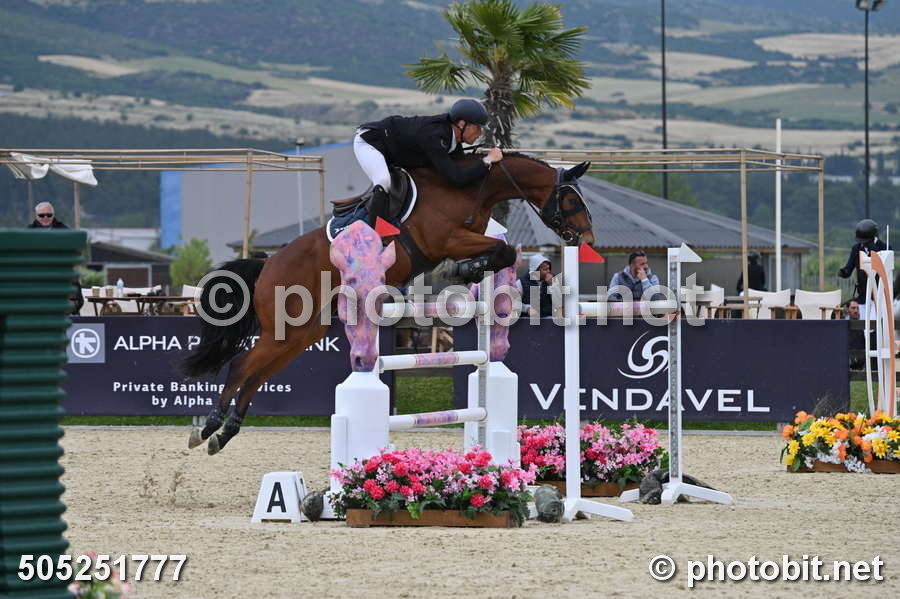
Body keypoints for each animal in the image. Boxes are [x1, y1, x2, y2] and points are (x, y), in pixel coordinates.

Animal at [182, 152, 594, 454]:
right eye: (571, 197)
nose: (585, 237)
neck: (469, 189)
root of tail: (268, 263)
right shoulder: (445, 239)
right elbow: (501, 249)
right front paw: (462, 268)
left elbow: (500, 251)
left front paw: (468, 270)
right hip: (285, 328)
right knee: (241, 366)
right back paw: (208, 428)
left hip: (300, 332)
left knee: (257, 373)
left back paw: (224, 433)